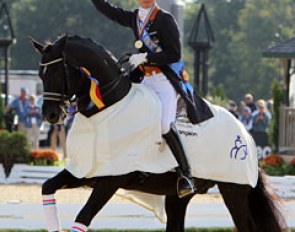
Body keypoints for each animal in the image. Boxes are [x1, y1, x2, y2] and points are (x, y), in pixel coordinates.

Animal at [31, 35, 286, 232]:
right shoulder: (86, 172)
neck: (106, 109)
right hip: (177, 197)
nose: (50, 115)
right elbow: (47, 187)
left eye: (57, 73)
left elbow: (83, 217)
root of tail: (245, 134)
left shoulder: (111, 179)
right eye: (41, 75)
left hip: (234, 190)